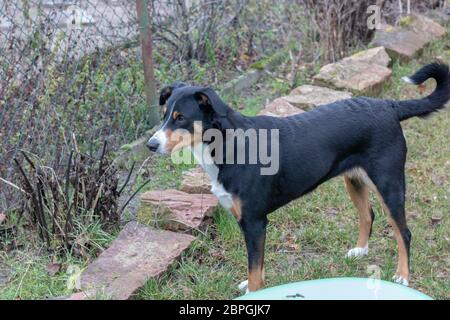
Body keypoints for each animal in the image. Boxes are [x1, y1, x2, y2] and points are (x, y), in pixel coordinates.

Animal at [148, 62, 450, 292]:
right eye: (165, 115)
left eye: (181, 117)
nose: (151, 145)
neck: (228, 144)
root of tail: (388, 105)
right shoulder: (252, 225)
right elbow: (257, 265)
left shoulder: (254, 222)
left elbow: (255, 270)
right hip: (354, 180)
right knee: (368, 215)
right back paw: (360, 251)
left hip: (389, 183)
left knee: (404, 232)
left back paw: (403, 276)